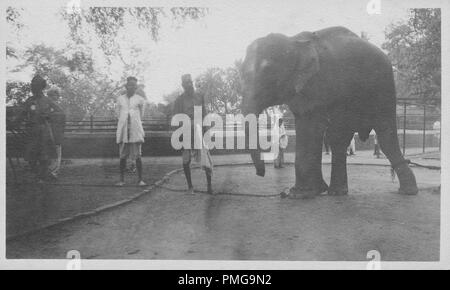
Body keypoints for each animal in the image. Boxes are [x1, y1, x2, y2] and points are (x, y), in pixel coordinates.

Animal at [241, 27, 420, 198]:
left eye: (267, 70)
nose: (261, 173)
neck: (294, 41)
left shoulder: (316, 84)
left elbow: (311, 126)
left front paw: (299, 194)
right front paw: (315, 190)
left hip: (383, 88)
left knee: (385, 136)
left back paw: (408, 191)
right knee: (338, 139)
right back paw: (336, 191)